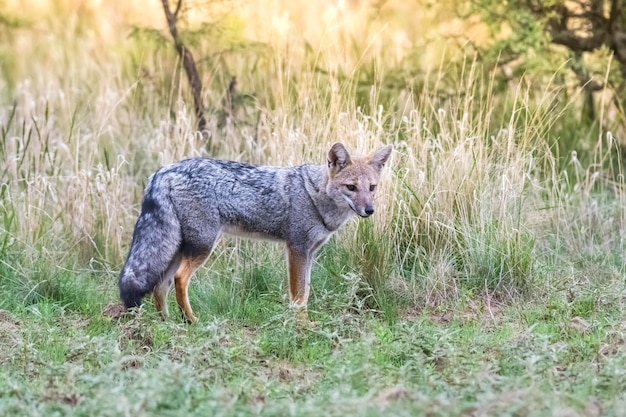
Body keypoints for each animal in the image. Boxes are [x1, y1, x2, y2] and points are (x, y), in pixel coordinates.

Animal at [117, 141, 390, 320]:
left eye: (372, 187)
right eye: (351, 187)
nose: (369, 210)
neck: (315, 194)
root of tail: (162, 172)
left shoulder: (310, 253)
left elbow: (306, 293)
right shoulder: (297, 249)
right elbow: (298, 296)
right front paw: (302, 327)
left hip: (178, 248)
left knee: (159, 286)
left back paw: (167, 324)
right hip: (202, 246)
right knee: (178, 279)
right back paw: (191, 321)